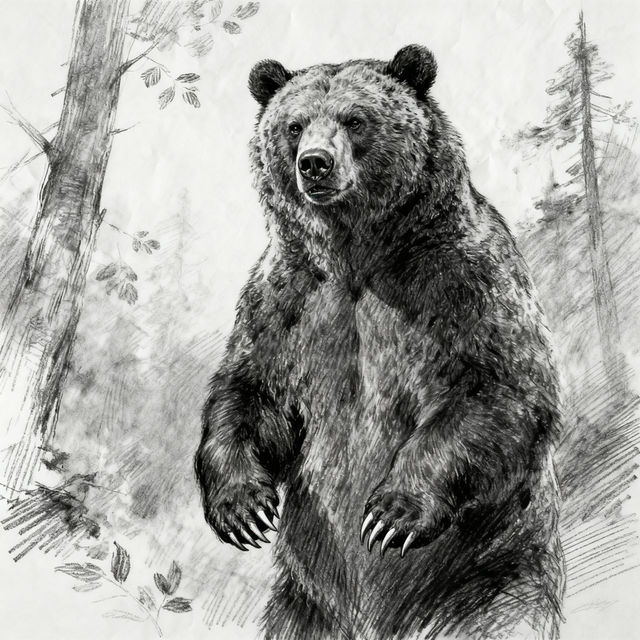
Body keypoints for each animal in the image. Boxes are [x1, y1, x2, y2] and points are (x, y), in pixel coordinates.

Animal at [195, 45, 565, 640]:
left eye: (355, 119)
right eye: (294, 125)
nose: (314, 163)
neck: (358, 254)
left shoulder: (462, 281)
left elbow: (501, 387)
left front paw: (391, 514)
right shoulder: (287, 299)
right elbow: (250, 391)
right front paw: (243, 508)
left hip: (490, 578)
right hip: (304, 604)